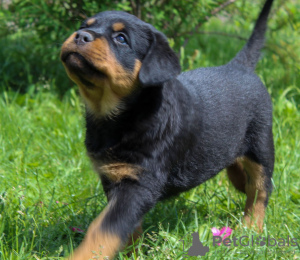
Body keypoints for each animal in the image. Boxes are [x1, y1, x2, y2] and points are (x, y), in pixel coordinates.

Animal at [60, 1, 274, 258]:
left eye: (121, 39)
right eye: (84, 26)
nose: (81, 35)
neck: (116, 116)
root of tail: (239, 67)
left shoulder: (140, 183)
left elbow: (105, 228)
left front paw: (86, 254)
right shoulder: (114, 177)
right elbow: (126, 227)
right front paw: (131, 251)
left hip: (261, 145)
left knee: (260, 189)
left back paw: (251, 227)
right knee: (239, 172)